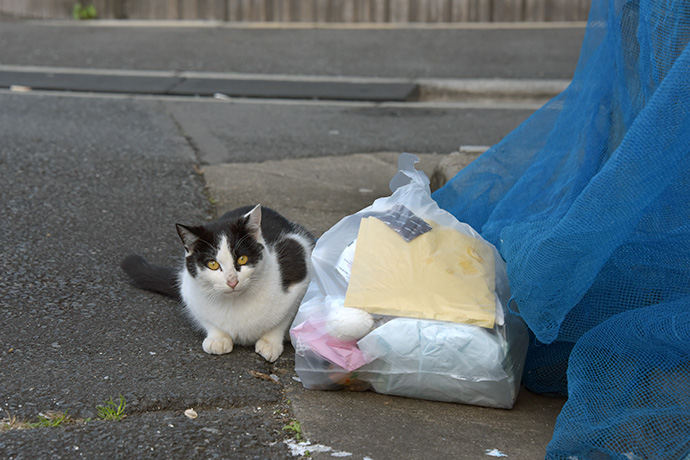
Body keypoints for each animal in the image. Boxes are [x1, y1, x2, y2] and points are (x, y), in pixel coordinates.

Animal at [119, 206, 314, 362]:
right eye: (213, 264)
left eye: (242, 259)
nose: (232, 281)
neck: (235, 304)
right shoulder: (188, 291)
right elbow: (207, 319)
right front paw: (218, 339)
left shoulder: (299, 268)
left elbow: (283, 319)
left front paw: (270, 342)